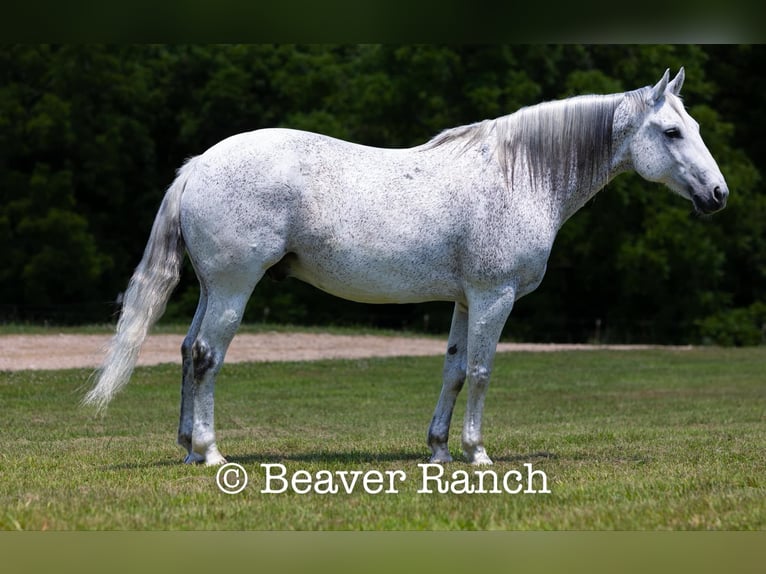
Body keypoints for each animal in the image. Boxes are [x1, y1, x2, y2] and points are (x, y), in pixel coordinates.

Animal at [84, 68, 728, 466]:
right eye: (672, 131)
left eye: (695, 128)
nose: (719, 195)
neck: (519, 175)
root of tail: (199, 164)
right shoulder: (494, 296)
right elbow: (482, 371)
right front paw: (477, 452)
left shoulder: (467, 299)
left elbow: (453, 370)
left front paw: (439, 449)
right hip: (233, 288)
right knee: (206, 356)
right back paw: (213, 451)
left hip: (211, 289)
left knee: (186, 351)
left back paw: (187, 447)